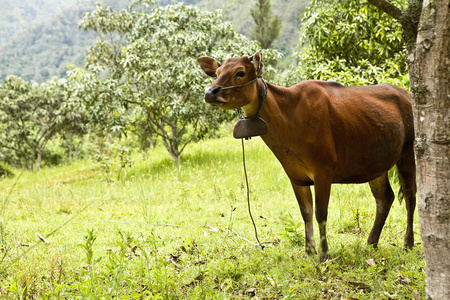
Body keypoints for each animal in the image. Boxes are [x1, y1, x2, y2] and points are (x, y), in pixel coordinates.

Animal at [199, 51, 416, 258]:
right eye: (217, 73)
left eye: (240, 72)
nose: (210, 92)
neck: (290, 118)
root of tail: (406, 94)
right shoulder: (296, 176)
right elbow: (306, 212)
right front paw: (309, 251)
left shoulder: (323, 171)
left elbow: (321, 213)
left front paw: (324, 253)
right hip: (377, 163)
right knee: (385, 197)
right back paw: (372, 242)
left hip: (408, 150)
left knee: (410, 196)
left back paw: (408, 243)